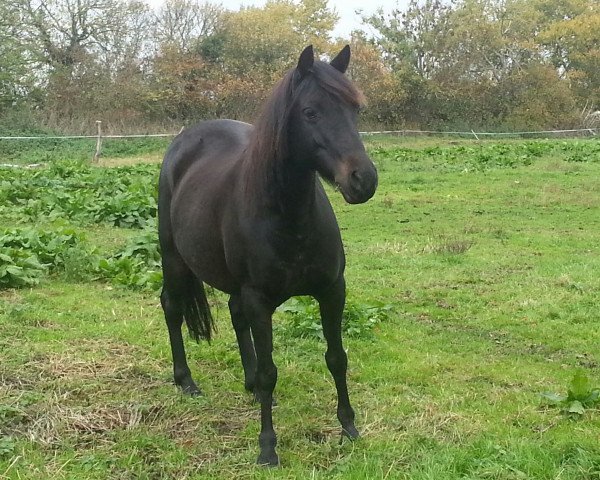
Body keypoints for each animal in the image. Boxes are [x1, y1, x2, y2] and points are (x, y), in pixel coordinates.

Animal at [157, 45, 378, 464]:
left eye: (355, 110)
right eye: (310, 112)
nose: (363, 180)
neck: (289, 217)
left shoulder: (332, 291)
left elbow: (336, 358)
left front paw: (349, 428)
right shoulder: (260, 300)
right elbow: (270, 371)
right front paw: (267, 447)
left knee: (233, 314)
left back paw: (248, 385)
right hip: (174, 259)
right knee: (172, 308)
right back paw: (186, 382)